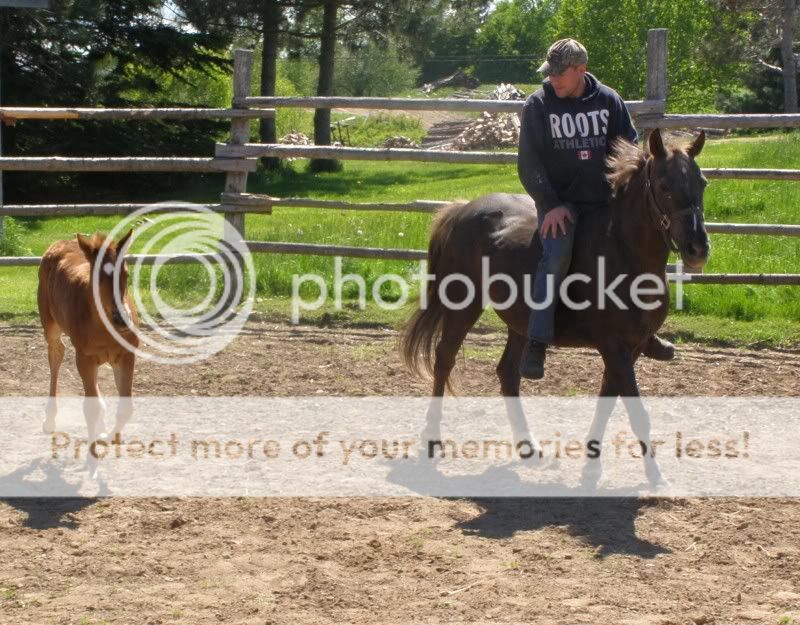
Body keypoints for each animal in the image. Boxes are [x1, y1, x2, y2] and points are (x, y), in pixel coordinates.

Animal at [404, 128, 708, 488]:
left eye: (702, 182)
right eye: (663, 186)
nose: (698, 247)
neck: (622, 253)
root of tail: (463, 209)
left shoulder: (629, 350)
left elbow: (607, 403)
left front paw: (592, 466)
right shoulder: (615, 348)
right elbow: (636, 412)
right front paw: (655, 476)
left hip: (520, 323)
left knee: (508, 373)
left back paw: (528, 447)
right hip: (463, 305)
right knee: (444, 360)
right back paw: (431, 439)